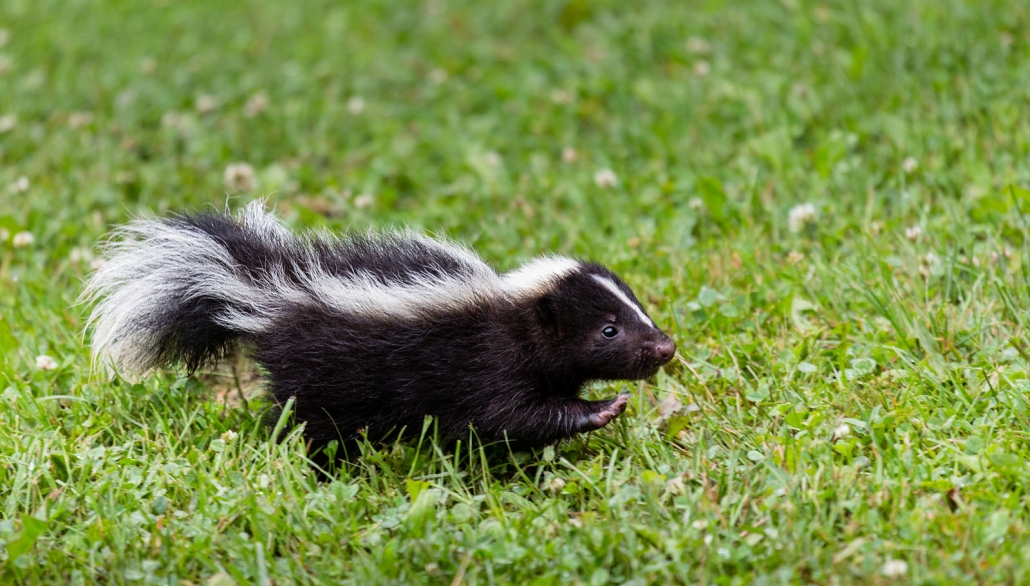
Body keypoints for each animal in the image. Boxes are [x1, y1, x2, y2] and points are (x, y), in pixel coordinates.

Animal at [86, 202, 675, 451]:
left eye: (637, 310)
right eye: (608, 330)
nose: (665, 347)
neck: (512, 310)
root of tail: (268, 285)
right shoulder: (485, 360)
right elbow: (510, 416)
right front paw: (602, 409)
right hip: (320, 374)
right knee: (305, 422)